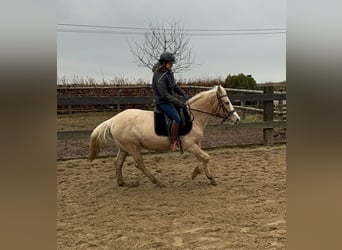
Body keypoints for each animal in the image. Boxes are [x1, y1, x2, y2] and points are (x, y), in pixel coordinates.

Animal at [91, 85, 240, 187]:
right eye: (226, 102)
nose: (237, 119)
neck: (194, 117)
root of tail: (113, 120)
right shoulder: (189, 145)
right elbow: (206, 157)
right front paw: (195, 173)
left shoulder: (197, 144)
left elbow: (203, 159)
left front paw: (210, 178)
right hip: (133, 147)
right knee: (139, 163)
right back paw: (157, 181)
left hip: (124, 148)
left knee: (118, 162)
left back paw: (121, 183)